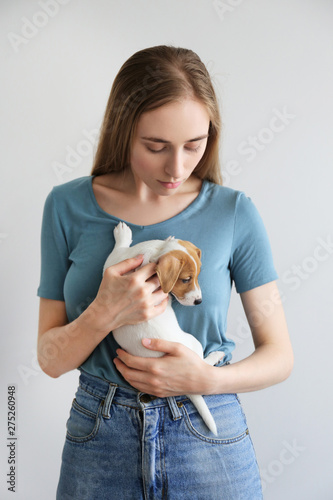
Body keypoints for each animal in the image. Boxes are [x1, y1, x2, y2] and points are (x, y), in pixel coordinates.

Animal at [102, 223, 224, 434]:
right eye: (186, 279)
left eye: (197, 276)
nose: (199, 301)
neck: (156, 253)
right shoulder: (112, 266)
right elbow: (118, 249)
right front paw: (123, 235)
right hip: (194, 342)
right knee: (201, 365)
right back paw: (216, 356)